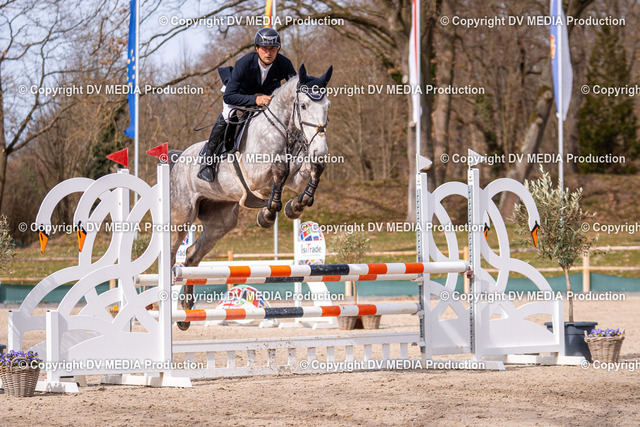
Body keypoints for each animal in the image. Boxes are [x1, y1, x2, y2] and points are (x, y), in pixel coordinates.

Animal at [169, 64, 333, 330]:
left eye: (327, 105)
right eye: (304, 105)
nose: (320, 149)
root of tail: (179, 156)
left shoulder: (296, 177)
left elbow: (311, 171)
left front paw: (295, 206)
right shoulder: (257, 176)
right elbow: (280, 169)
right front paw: (267, 213)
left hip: (221, 221)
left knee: (191, 256)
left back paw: (185, 313)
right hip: (181, 216)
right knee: (173, 253)